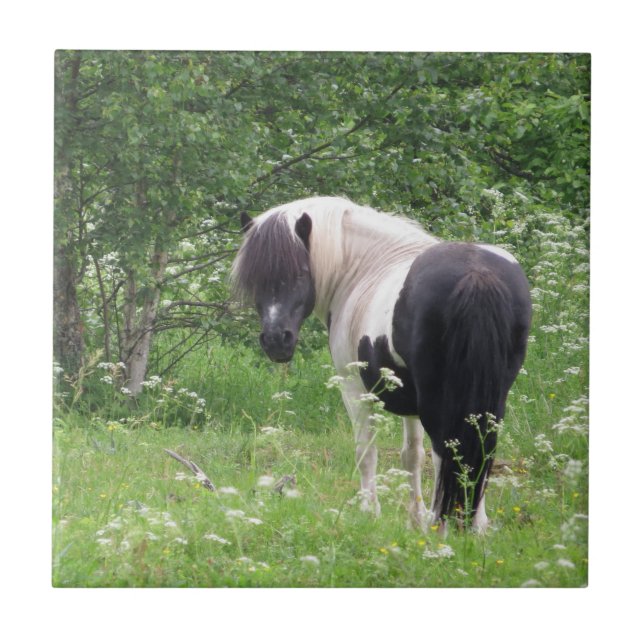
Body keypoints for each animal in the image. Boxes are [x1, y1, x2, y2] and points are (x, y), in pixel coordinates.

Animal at [231, 196, 531, 533]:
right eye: (254, 278)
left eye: (300, 273)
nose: (275, 341)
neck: (362, 269)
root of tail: (476, 274)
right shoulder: (408, 397)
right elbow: (411, 455)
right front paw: (414, 520)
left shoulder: (354, 388)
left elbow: (366, 451)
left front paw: (369, 513)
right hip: (491, 396)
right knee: (481, 447)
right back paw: (474, 524)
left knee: (446, 451)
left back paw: (441, 523)